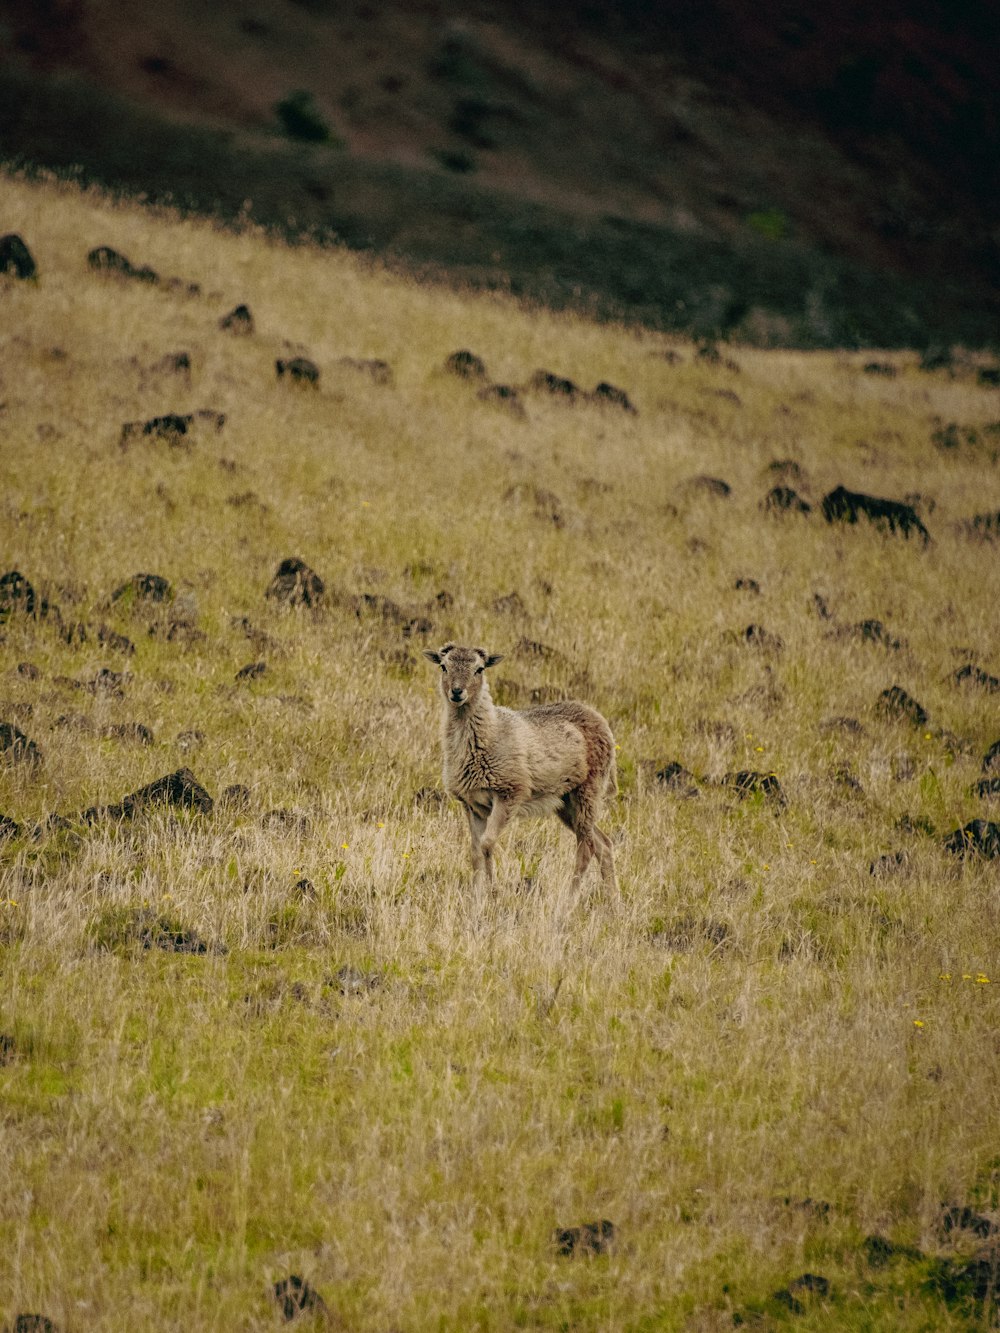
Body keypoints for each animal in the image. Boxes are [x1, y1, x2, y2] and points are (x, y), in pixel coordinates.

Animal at [424, 642, 618, 890]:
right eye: (443, 667)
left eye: (479, 669)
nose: (457, 692)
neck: (490, 731)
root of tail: (597, 717)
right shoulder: (472, 804)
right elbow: (475, 852)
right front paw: (476, 895)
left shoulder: (510, 793)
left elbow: (487, 844)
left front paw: (493, 891)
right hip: (567, 801)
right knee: (603, 844)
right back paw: (613, 899)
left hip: (589, 789)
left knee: (586, 848)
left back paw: (569, 898)